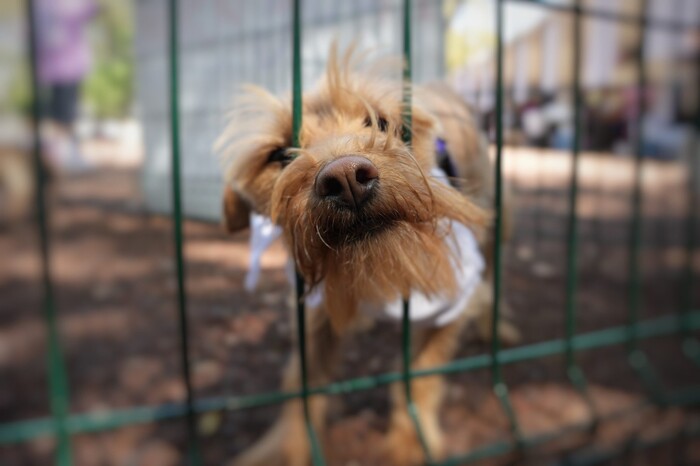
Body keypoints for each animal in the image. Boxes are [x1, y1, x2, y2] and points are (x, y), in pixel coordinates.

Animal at [219, 48, 520, 466]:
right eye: (278, 154)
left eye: (382, 123)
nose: (346, 178)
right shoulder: (314, 312)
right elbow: (301, 382)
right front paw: (286, 446)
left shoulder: (454, 299)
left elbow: (422, 376)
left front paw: (412, 444)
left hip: (497, 218)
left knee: (496, 274)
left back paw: (497, 327)